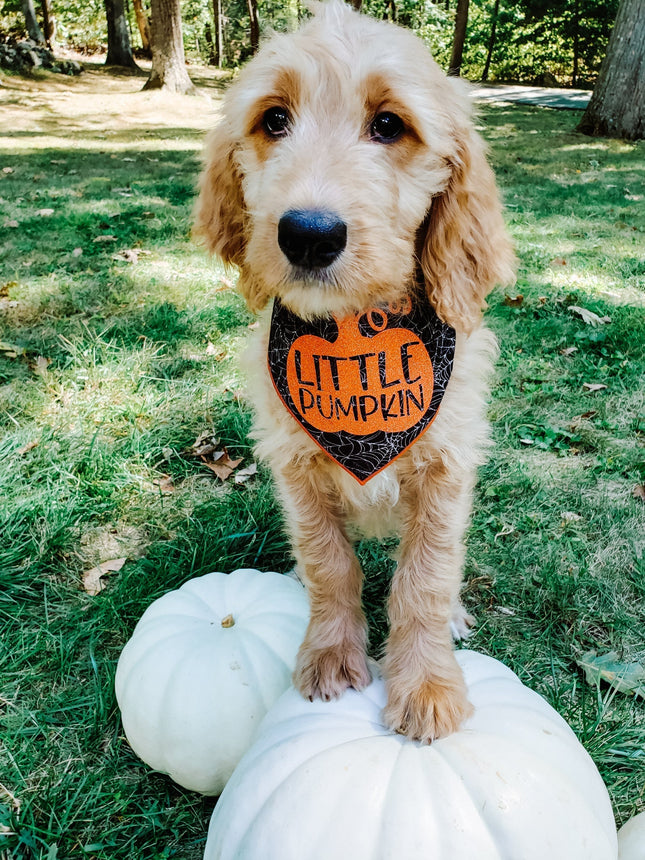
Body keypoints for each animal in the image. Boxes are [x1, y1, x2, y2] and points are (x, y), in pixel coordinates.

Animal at [194, 0, 516, 740]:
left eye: (389, 125)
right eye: (273, 119)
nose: (308, 235)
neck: (351, 331)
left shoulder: (447, 468)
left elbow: (425, 578)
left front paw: (425, 684)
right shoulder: (295, 467)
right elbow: (327, 564)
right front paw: (330, 654)